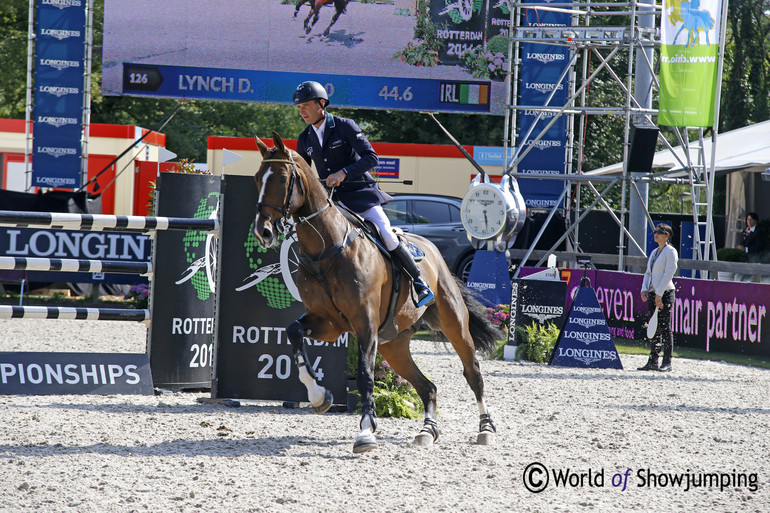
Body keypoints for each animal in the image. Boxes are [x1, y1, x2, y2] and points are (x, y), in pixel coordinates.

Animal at [252, 131, 498, 452]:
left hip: (454, 324)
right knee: (427, 386)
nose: (263, 231)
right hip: (394, 344)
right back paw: (427, 431)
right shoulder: (327, 323)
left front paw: (366, 432)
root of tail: (433, 249)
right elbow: (294, 332)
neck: (324, 251)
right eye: (257, 178)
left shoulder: (364, 323)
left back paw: (486, 429)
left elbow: (365, 376)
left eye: (282, 179)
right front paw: (319, 397)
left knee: (473, 373)